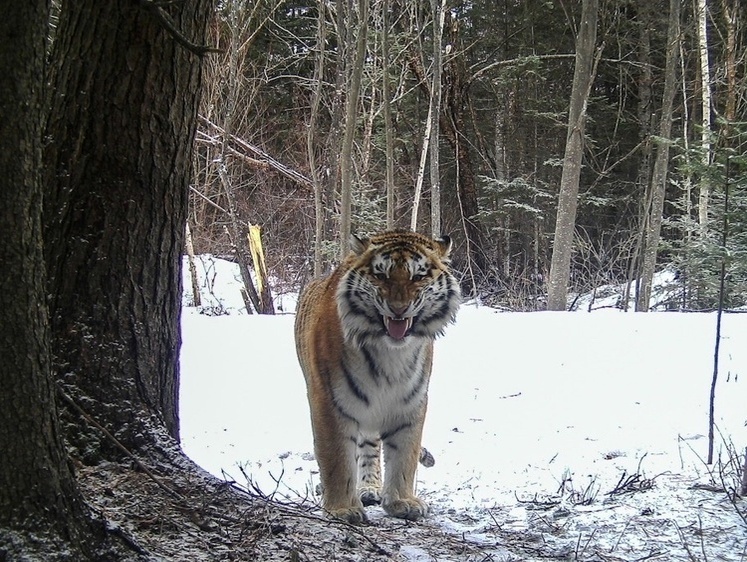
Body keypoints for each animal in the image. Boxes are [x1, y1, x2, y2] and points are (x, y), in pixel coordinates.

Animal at [294, 229, 462, 520]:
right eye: (381, 276)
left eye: (418, 276)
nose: (398, 308)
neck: (391, 353)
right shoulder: (329, 400)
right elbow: (336, 456)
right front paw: (342, 508)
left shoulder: (411, 402)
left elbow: (404, 455)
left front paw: (402, 501)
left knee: (371, 446)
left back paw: (371, 487)